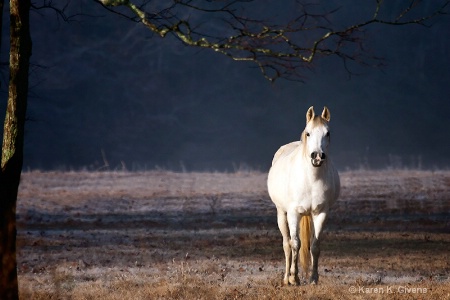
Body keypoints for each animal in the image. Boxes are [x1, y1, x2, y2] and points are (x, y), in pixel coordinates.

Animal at [268, 106, 340, 286]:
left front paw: (313, 278)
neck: (311, 179)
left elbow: (315, 245)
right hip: (282, 213)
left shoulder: (321, 213)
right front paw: (294, 278)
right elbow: (295, 244)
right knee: (286, 244)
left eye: (328, 133)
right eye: (308, 133)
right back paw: (286, 278)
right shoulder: (294, 213)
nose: (317, 156)